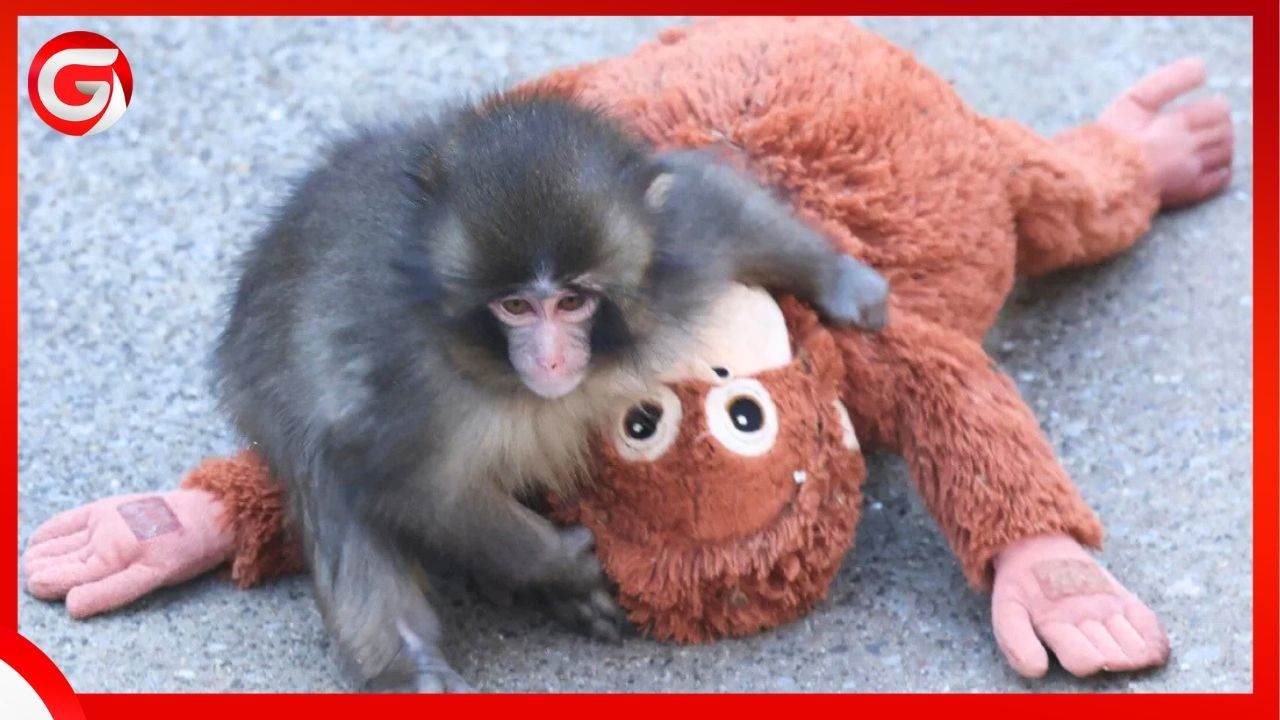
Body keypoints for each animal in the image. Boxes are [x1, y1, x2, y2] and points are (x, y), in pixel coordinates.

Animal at [212, 91, 888, 692]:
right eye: (514, 306)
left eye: (571, 301)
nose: (551, 357)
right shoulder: (405, 383)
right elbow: (406, 482)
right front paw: (557, 563)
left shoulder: (676, 256)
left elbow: (716, 205)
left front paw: (840, 280)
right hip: (262, 384)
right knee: (326, 475)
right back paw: (412, 668)